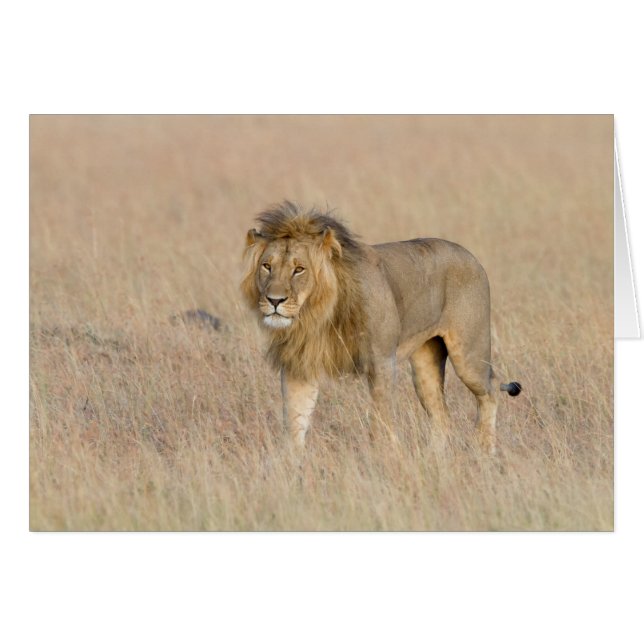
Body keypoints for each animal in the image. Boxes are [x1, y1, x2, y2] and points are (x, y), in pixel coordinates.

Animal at [241, 201, 521, 454]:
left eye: (299, 269)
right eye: (267, 266)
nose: (274, 301)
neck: (317, 314)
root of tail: (470, 255)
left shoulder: (382, 361)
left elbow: (382, 420)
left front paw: (385, 457)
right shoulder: (299, 365)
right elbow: (294, 422)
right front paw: (290, 465)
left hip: (469, 355)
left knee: (491, 390)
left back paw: (485, 450)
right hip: (425, 364)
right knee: (442, 416)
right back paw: (436, 457)